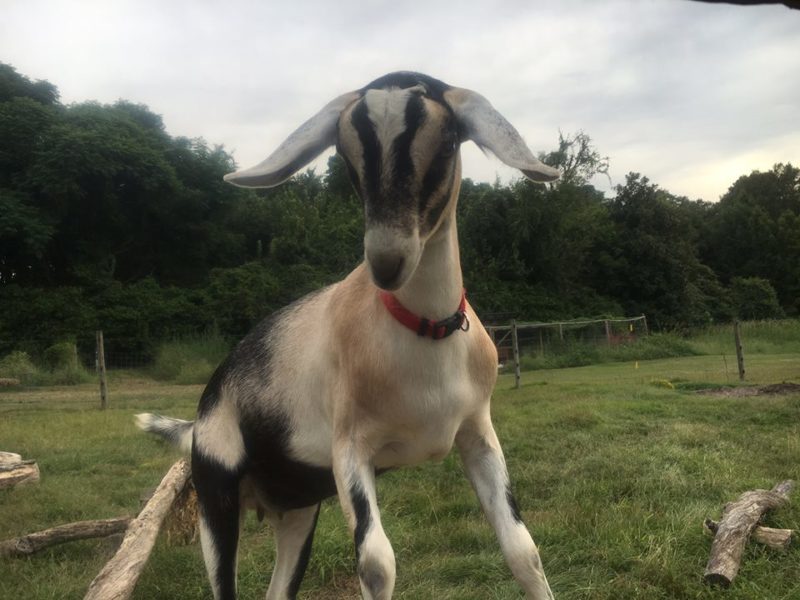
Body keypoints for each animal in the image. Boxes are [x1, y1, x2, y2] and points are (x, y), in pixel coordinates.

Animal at [137, 71, 559, 600]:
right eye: (344, 153)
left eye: (446, 143)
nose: (386, 261)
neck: (425, 333)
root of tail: (200, 415)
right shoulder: (349, 450)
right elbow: (377, 563)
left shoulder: (477, 432)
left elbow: (524, 550)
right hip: (217, 494)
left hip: (297, 511)